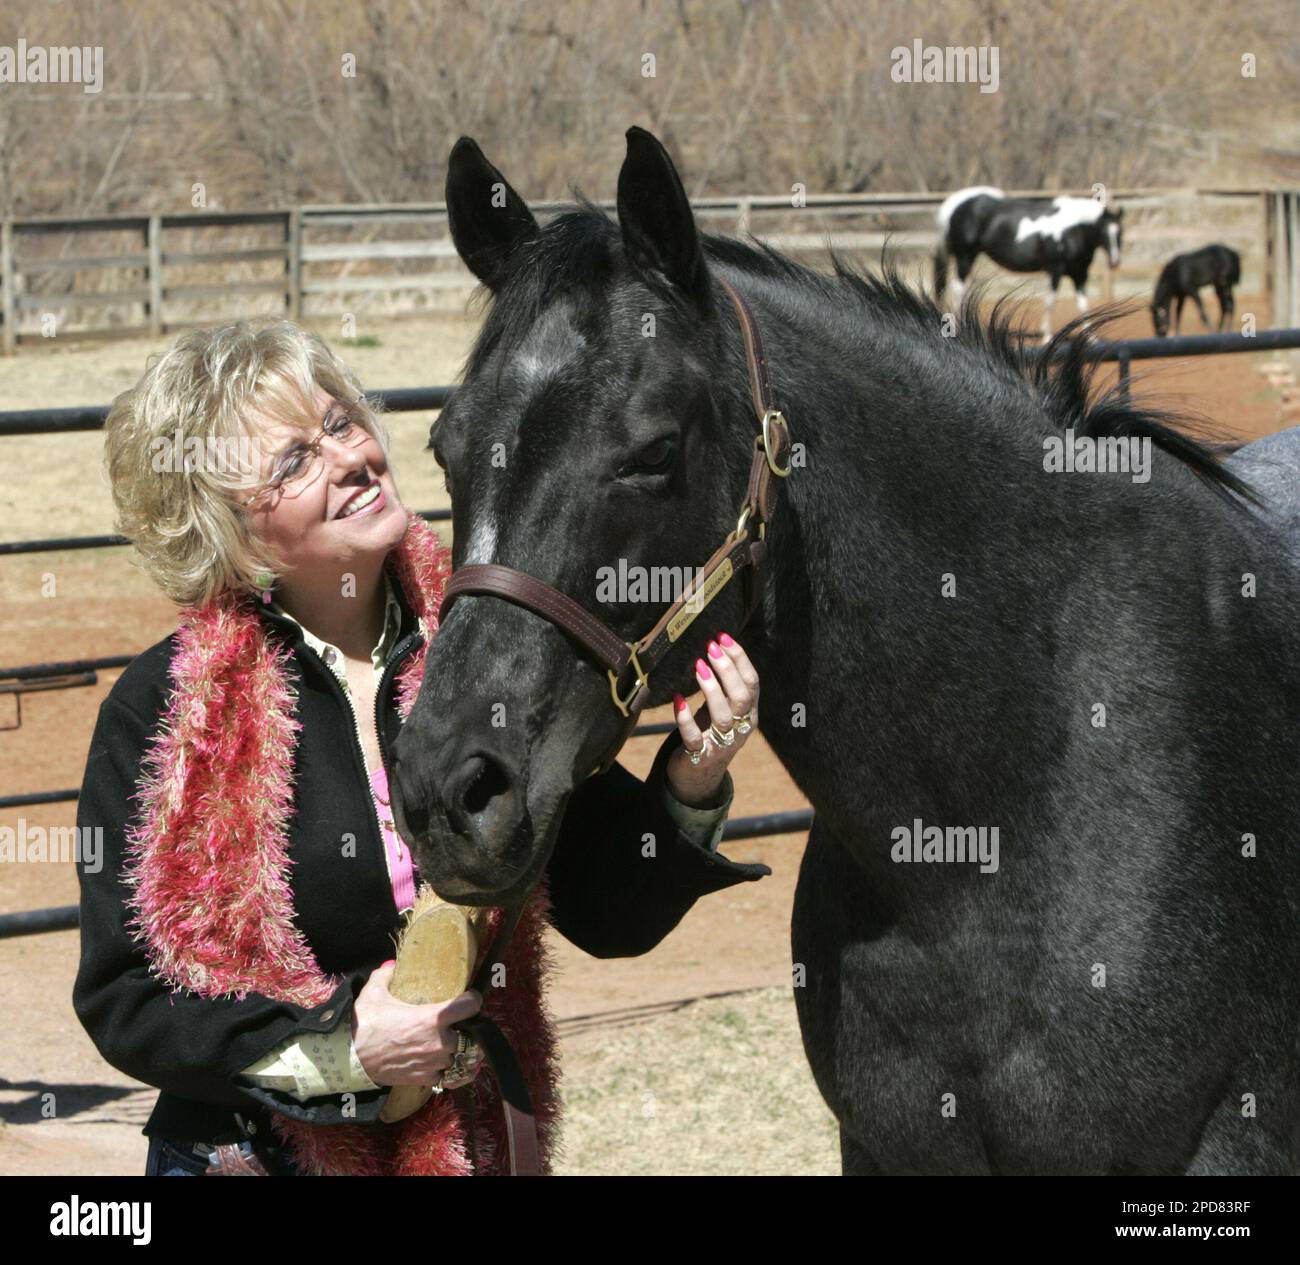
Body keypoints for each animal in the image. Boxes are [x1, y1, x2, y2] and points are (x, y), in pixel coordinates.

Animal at [934, 186, 1124, 340]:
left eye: (1119, 232)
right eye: (1103, 232)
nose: (1114, 262)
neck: (1073, 229)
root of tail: (953, 205)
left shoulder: (1080, 274)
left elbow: (1083, 306)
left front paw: (1091, 338)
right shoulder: (1055, 270)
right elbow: (1050, 301)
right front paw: (1046, 336)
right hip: (965, 257)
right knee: (958, 290)